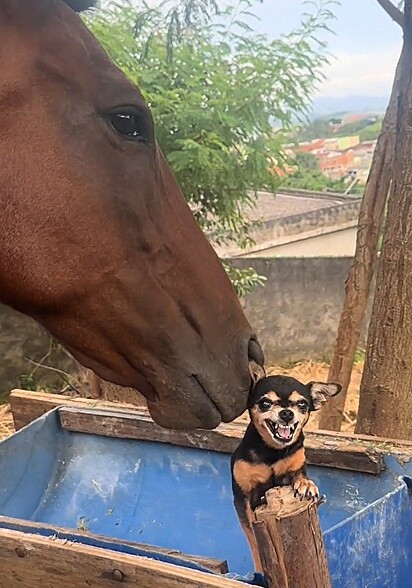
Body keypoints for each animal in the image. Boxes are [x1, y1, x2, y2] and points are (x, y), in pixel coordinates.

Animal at [232, 374, 342, 572]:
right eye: (265, 403)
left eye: (302, 404)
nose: (287, 413)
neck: (273, 452)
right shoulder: (243, 499)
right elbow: (253, 539)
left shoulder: (296, 465)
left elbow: (298, 475)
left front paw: (305, 484)